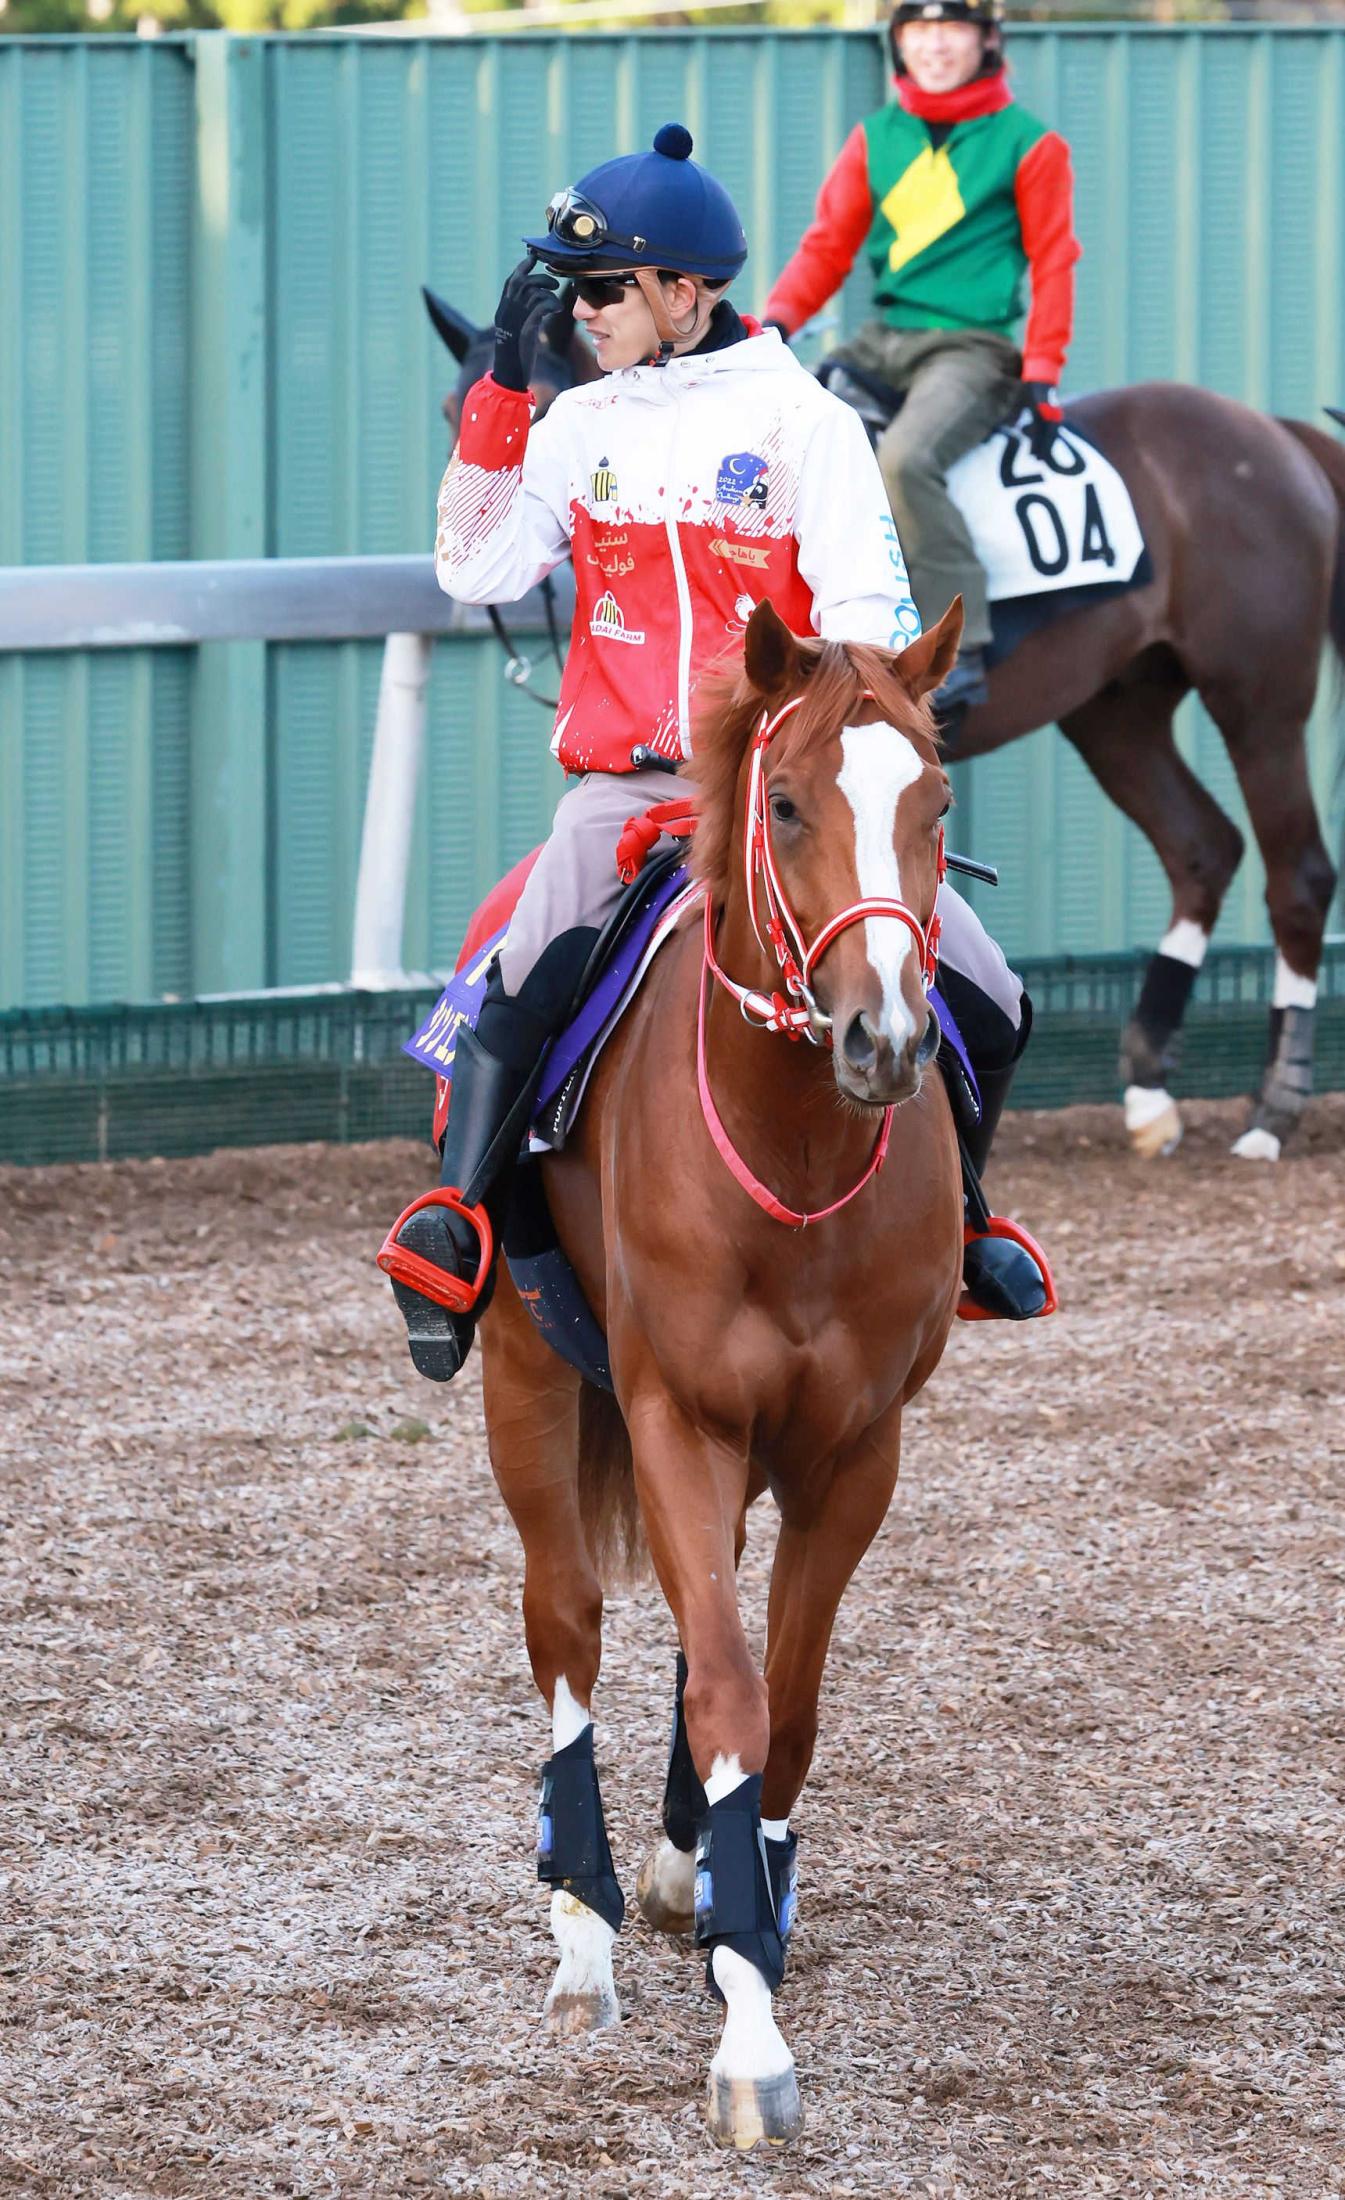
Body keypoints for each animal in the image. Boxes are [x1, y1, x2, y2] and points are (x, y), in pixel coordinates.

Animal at [429, 288, 1345, 1170]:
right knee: (1201, 847)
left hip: (1256, 694)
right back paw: (1150, 1093)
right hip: (1117, 709)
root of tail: (1276, 433)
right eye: (453, 410)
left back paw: (1273, 1108)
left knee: (1296, 872)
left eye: (544, 402)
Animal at [479, 598, 964, 2147]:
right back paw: (581, 1924)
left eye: (935, 804)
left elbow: (782, 1704)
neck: (792, 1156)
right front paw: (750, 2033)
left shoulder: (853, 1448)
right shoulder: (673, 1415)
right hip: (526, 1376)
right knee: (566, 1621)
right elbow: (733, 1692)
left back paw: (683, 1861)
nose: (885, 1038)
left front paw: (743, 1911)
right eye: (792, 802)